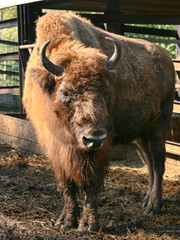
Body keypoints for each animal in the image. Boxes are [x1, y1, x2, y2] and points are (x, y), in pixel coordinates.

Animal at [23, 12, 175, 232]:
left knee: (158, 162)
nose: (93, 138)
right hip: (141, 133)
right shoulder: (55, 148)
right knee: (149, 162)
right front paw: (66, 220)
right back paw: (146, 200)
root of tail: (167, 60)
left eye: (105, 89)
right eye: (65, 92)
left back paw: (153, 207)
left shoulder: (100, 149)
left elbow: (91, 184)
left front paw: (88, 223)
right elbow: (66, 184)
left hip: (159, 126)